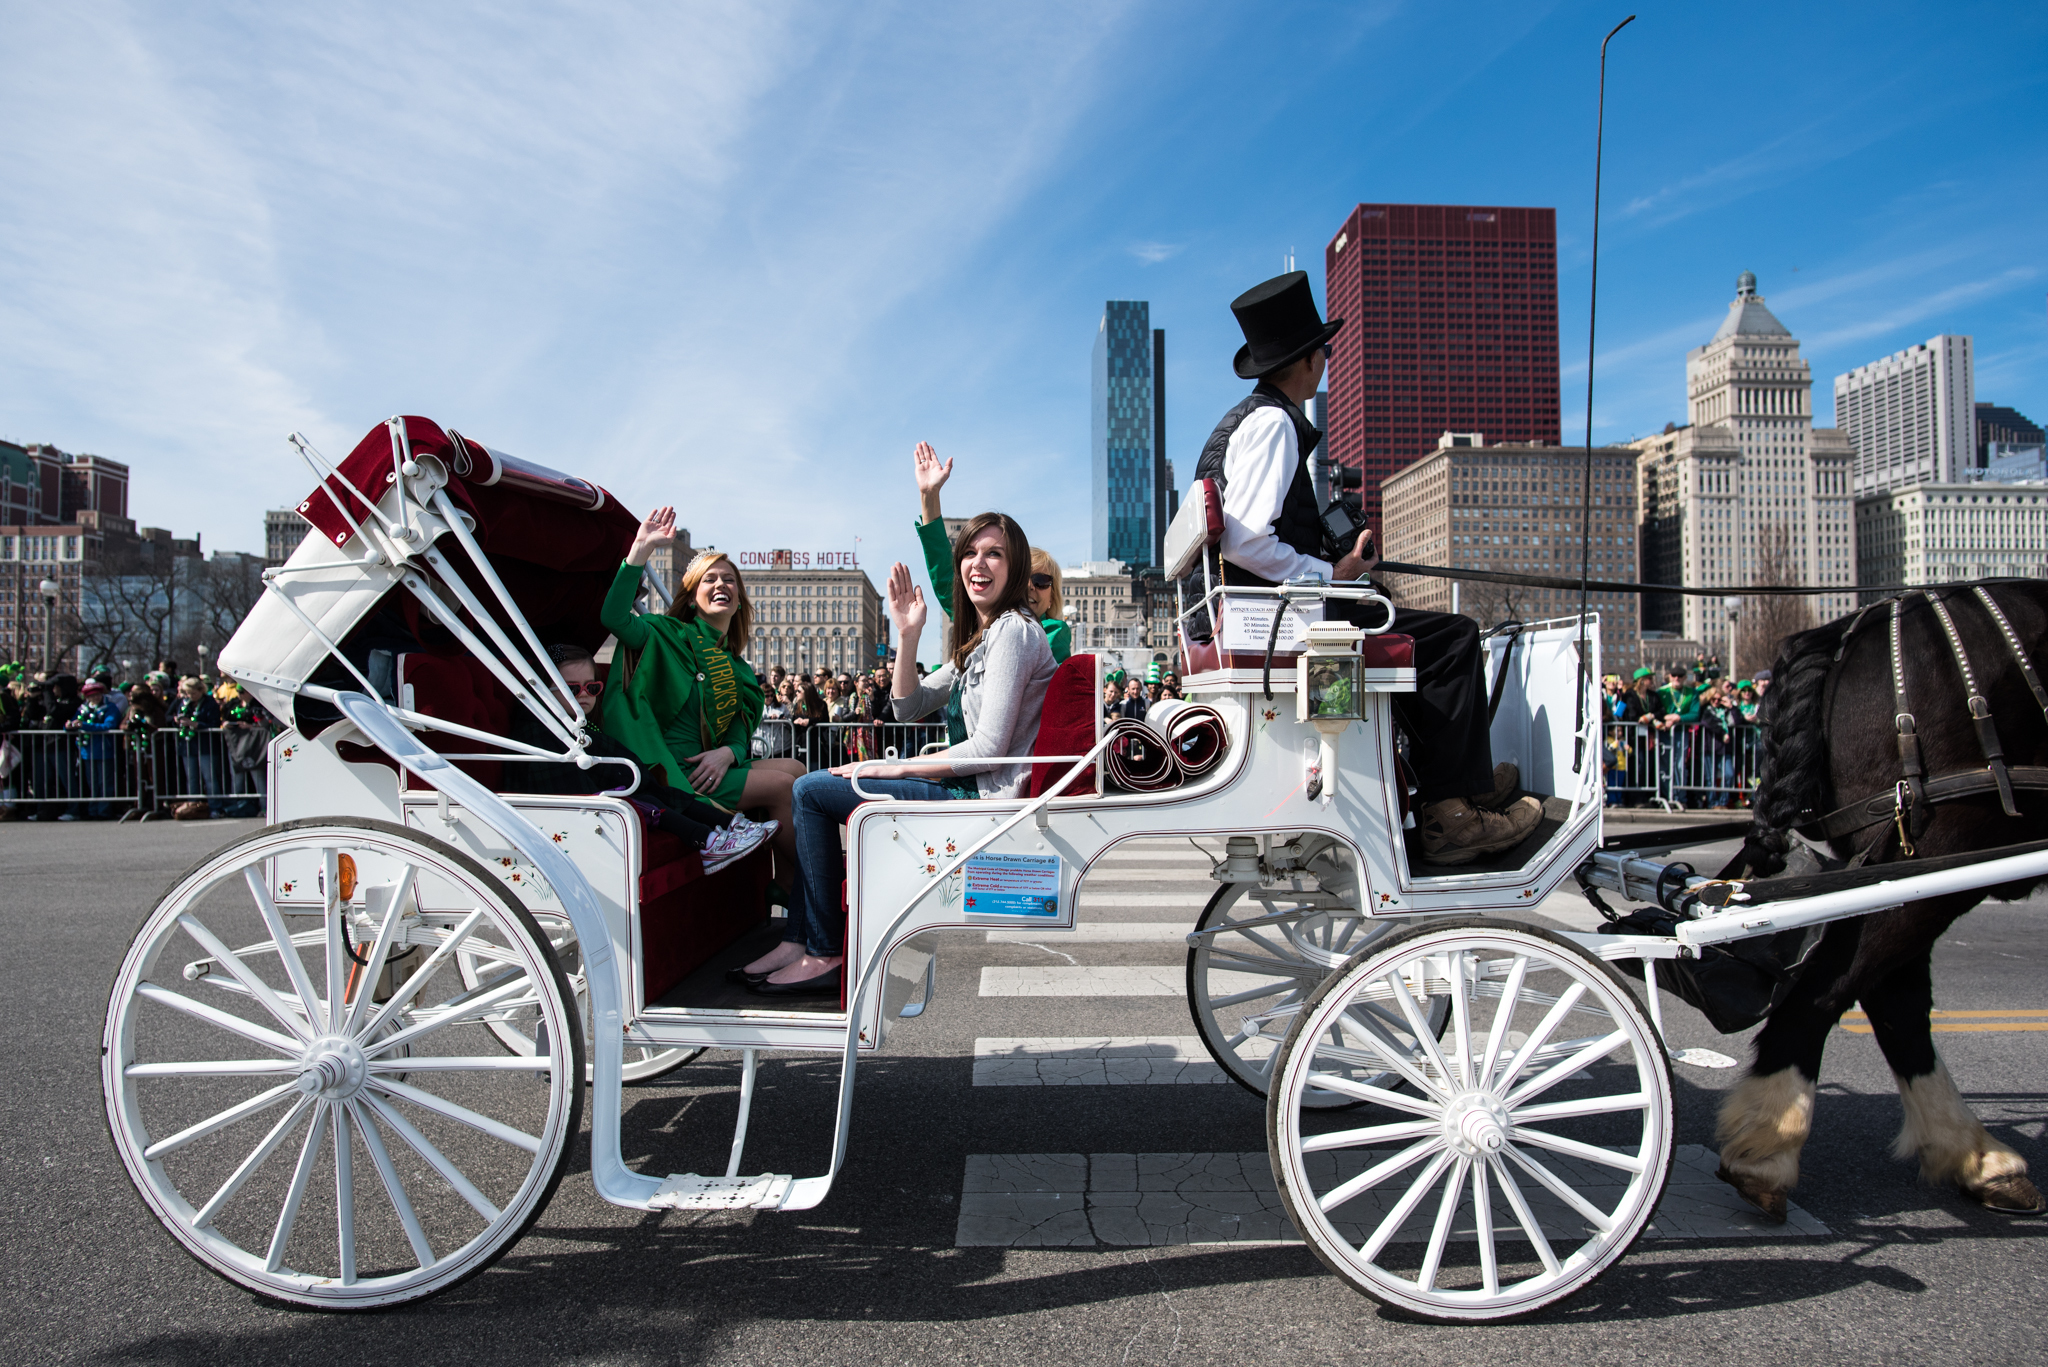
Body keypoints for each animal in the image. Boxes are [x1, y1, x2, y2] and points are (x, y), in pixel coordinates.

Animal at [1712, 577, 2048, 1221]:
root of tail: (1852, 627)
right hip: (1937, 843)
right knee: (1836, 990)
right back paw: (1768, 1148)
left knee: (1889, 996)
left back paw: (1977, 1157)